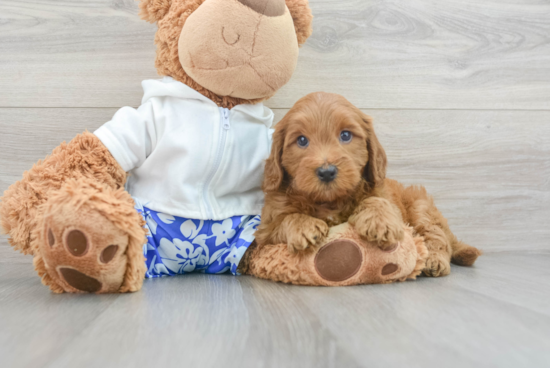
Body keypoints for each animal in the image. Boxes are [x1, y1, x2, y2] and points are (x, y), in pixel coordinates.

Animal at [254, 92, 484, 276]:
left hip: (421, 206)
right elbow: (284, 220)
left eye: (345, 135)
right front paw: (303, 226)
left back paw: (434, 260)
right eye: (302, 140)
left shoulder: (386, 198)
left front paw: (380, 221)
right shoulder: (265, 231)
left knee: (437, 237)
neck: (330, 202)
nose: (327, 172)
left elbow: (377, 201)